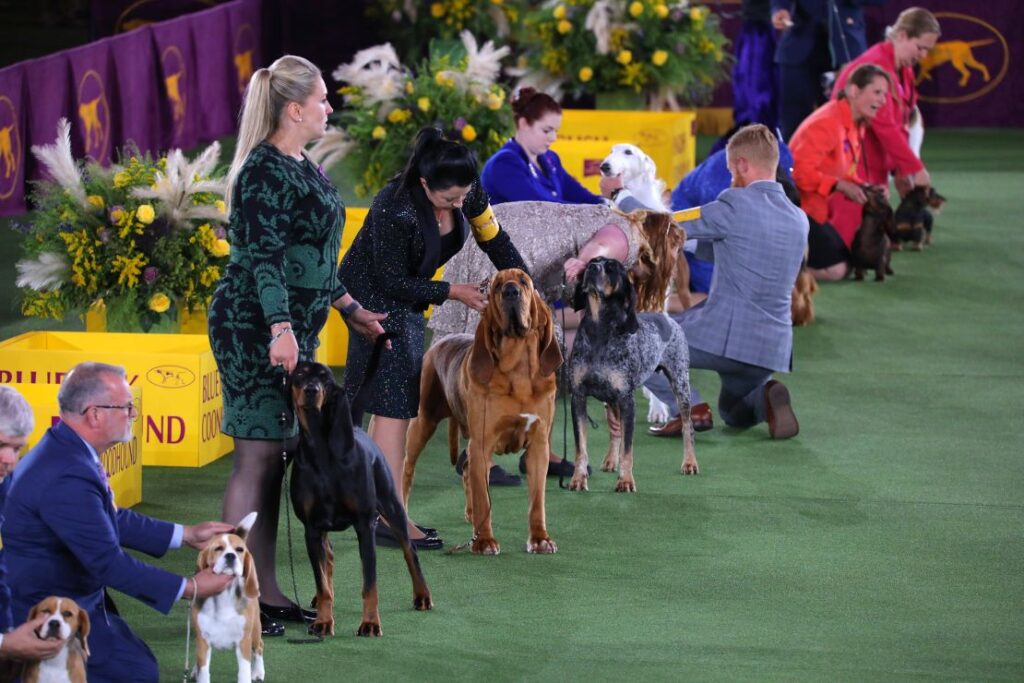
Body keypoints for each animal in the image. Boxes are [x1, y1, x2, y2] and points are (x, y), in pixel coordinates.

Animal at [192, 511, 264, 683]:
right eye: (218, 548)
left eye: (239, 549)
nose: (231, 556)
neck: (223, 598)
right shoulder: (203, 640)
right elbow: (203, 670)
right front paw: (199, 673)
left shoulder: (243, 641)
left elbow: (244, 672)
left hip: (255, 631)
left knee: (259, 647)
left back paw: (258, 672)